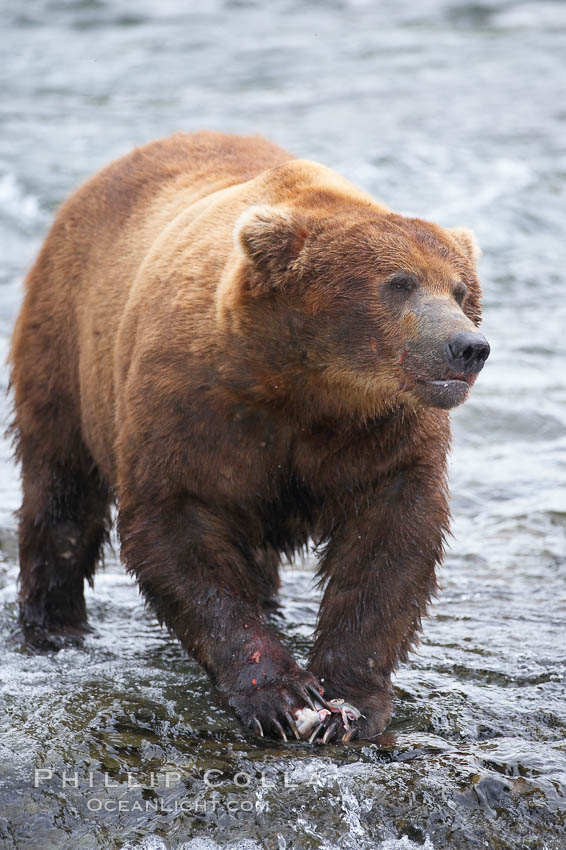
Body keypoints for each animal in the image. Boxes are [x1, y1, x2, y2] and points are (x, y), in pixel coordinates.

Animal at [11, 129, 492, 740]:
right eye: (398, 284)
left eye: (460, 290)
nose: (468, 346)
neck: (305, 385)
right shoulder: (194, 406)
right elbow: (177, 523)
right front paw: (281, 697)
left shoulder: (383, 434)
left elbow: (390, 542)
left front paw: (350, 699)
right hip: (66, 341)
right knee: (61, 491)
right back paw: (54, 627)